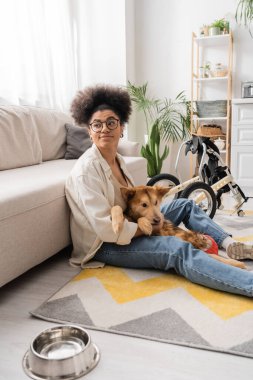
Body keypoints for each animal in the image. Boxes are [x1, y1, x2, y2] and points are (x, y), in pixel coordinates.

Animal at [110, 185, 245, 268]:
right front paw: (117, 224)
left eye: (156, 202)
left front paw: (145, 224)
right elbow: (116, 207)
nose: (158, 219)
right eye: (144, 205)